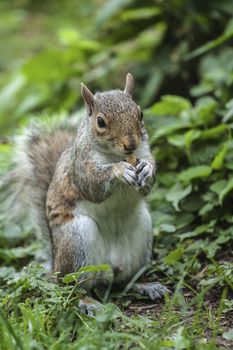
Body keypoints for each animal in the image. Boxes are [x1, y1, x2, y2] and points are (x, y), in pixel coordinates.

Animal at [1, 73, 167, 312]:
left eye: (140, 113)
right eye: (100, 122)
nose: (131, 144)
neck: (115, 155)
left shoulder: (144, 151)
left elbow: (148, 179)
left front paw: (147, 169)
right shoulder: (80, 166)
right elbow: (92, 185)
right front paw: (118, 171)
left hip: (142, 234)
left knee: (126, 281)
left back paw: (146, 286)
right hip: (76, 242)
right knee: (71, 288)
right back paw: (87, 302)